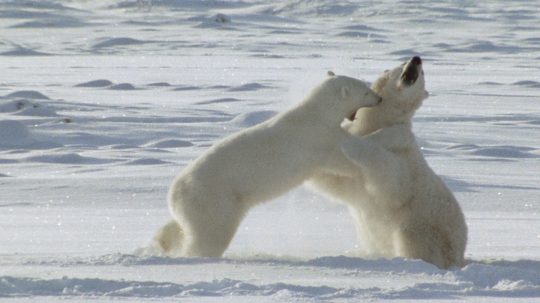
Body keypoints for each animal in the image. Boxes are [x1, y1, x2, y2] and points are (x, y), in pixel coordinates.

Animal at [152, 73, 380, 258]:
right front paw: (361, 168)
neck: (315, 113)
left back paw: (163, 243)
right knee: (211, 232)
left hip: (193, 205)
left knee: (180, 227)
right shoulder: (316, 140)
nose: (379, 98)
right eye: (366, 90)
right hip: (214, 198)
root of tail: (174, 192)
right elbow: (338, 160)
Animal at [310, 56, 466, 268]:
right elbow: (329, 179)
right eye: (402, 62)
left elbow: (390, 178)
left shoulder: (401, 147)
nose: (417, 59)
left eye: (423, 73)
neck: (378, 121)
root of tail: (460, 256)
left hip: (428, 228)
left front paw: (349, 142)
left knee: (413, 239)